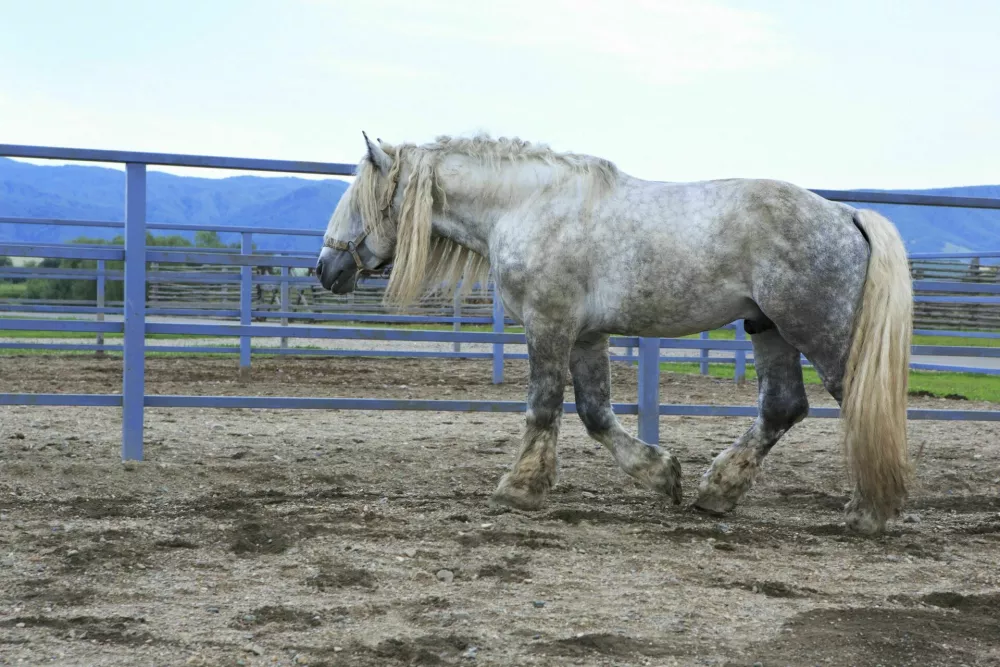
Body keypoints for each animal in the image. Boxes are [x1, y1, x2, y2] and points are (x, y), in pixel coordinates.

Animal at [315, 132, 913, 535]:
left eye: (361, 201)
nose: (325, 268)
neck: (527, 206)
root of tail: (846, 215)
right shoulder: (586, 335)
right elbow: (595, 413)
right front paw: (662, 475)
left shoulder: (549, 323)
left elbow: (544, 405)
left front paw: (519, 489)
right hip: (768, 328)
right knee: (782, 407)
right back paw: (716, 492)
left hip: (819, 333)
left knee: (856, 403)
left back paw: (869, 513)